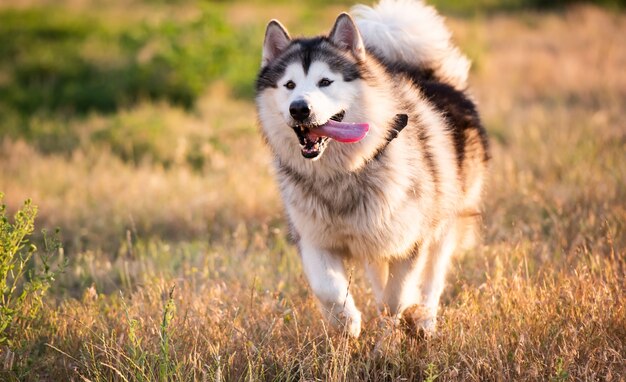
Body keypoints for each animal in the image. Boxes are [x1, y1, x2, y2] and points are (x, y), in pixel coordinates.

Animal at [254, 0, 488, 338]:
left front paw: (395, 326)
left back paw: (425, 320)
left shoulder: (412, 239)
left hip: (444, 221)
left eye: (326, 82)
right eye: (289, 85)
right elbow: (328, 289)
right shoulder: (313, 237)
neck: (343, 171)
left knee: (432, 278)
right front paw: (346, 323)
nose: (298, 108)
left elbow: (397, 295)